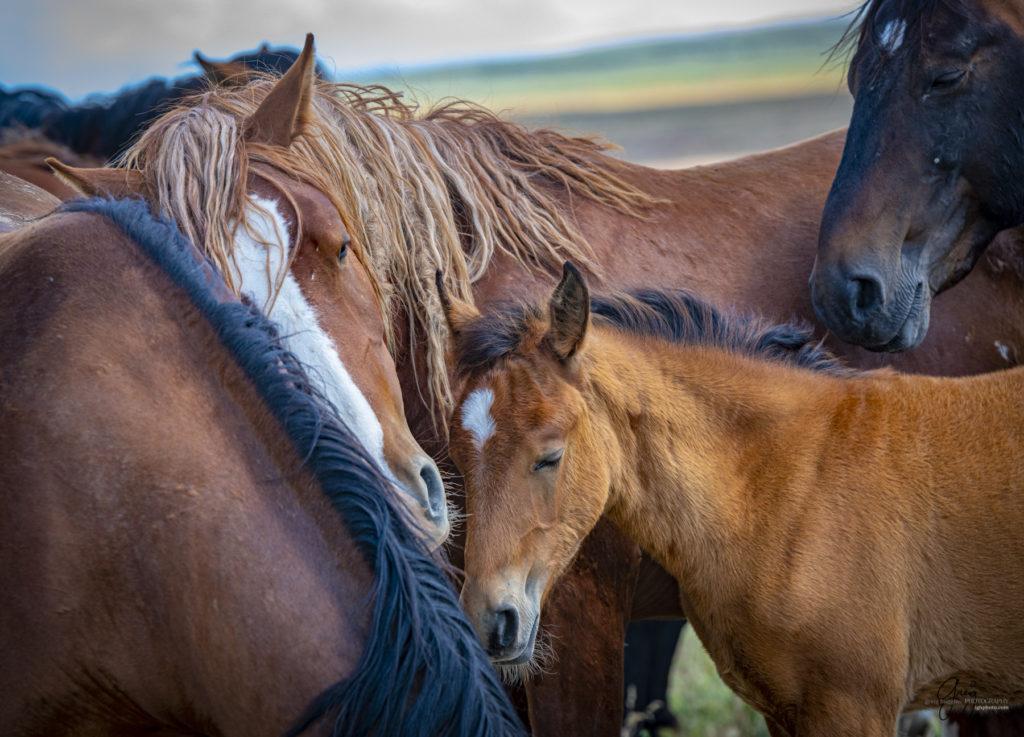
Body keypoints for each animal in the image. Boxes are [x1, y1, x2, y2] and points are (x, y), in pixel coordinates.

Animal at [444, 264, 1024, 737]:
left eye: (550, 456)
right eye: (456, 458)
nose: (491, 622)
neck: (794, 485)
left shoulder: (855, 708)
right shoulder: (784, 712)